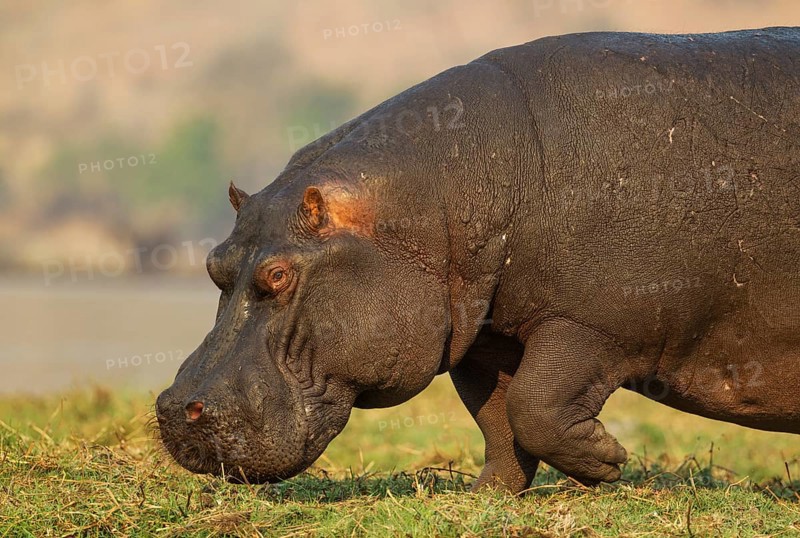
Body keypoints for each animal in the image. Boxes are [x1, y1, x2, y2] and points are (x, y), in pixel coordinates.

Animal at [157, 27, 800, 493]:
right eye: (214, 263)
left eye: (278, 275)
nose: (170, 409)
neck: (440, 194)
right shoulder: (481, 336)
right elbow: (498, 416)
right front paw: (487, 494)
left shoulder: (594, 325)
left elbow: (535, 404)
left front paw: (608, 461)